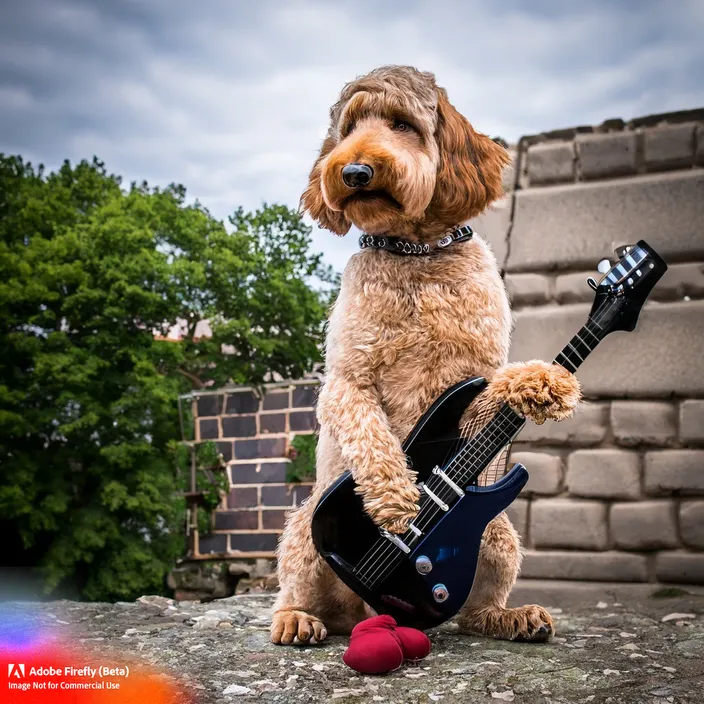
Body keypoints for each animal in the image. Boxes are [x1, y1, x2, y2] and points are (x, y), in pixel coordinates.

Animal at [270, 66, 576, 644]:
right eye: (348, 129)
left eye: (401, 123)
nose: (354, 170)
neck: (417, 256)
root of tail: (369, 605)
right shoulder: (345, 380)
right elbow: (373, 438)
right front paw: (397, 503)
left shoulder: (473, 377)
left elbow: (498, 388)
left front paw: (539, 383)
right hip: (303, 529)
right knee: (296, 586)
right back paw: (296, 618)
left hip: (498, 535)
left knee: (476, 609)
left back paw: (510, 616)